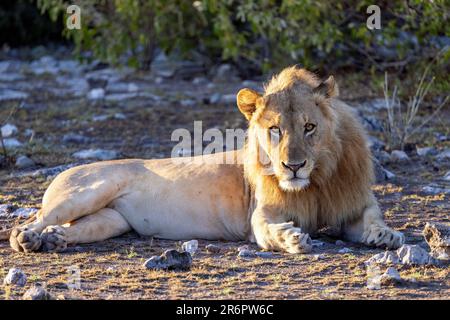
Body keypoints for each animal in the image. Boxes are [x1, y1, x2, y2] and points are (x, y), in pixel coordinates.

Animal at [4, 66, 404, 254]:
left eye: (309, 127)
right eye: (274, 129)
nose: (293, 166)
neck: (316, 181)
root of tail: (67, 169)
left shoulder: (352, 200)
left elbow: (371, 217)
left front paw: (385, 235)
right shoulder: (260, 216)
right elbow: (271, 230)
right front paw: (293, 238)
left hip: (110, 221)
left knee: (73, 228)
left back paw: (54, 240)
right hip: (86, 192)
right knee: (33, 220)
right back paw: (28, 238)